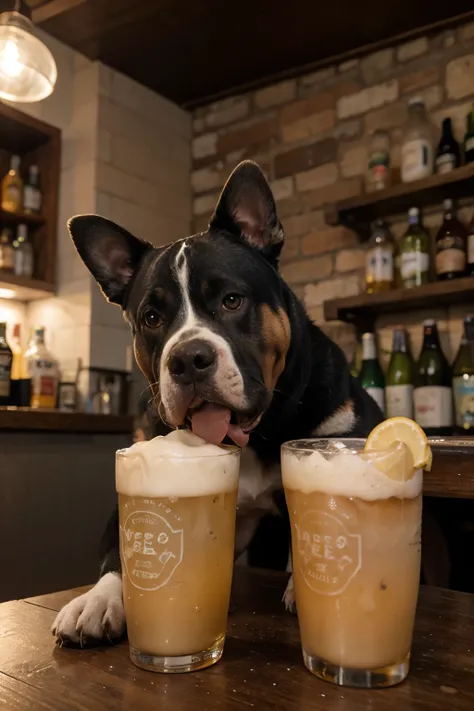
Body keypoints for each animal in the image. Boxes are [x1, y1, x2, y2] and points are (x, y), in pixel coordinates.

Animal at [51, 160, 382, 644]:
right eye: (152, 318)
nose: (188, 359)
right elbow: (119, 550)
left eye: (231, 300)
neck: (255, 433)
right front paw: (97, 599)